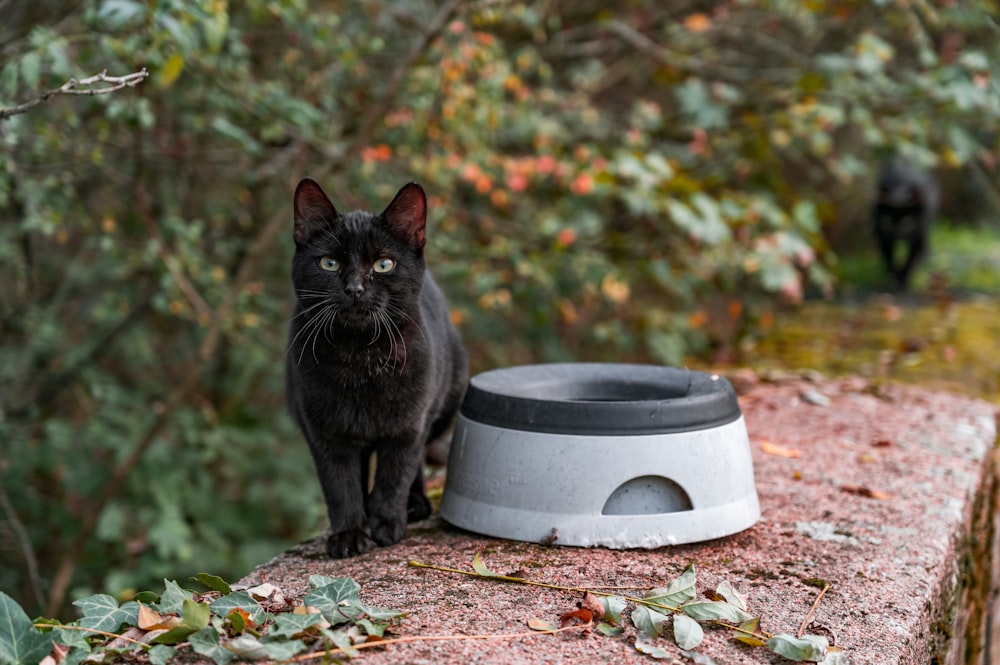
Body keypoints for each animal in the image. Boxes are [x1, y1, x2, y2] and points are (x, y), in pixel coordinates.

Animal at [284, 179, 466, 556]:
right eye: (329, 263)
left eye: (383, 264)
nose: (354, 288)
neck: (360, 360)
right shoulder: (325, 433)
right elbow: (340, 485)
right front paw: (349, 535)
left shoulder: (407, 427)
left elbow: (395, 475)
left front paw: (386, 526)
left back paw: (414, 505)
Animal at [872, 160, 940, 288]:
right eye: (887, 221)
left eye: (907, 223)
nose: (895, 236)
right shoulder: (882, 236)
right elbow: (889, 258)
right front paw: (894, 277)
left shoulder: (920, 237)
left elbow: (911, 260)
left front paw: (902, 279)